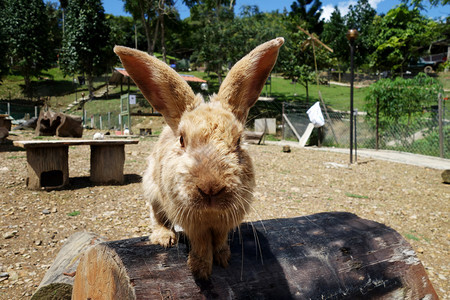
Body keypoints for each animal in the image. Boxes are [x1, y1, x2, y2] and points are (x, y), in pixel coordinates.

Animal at [115, 37, 284, 278]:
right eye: (182, 139)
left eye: (238, 140)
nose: (210, 188)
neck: (210, 213)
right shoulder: (191, 222)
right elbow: (201, 242)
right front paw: (200, 268)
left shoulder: (225, 223)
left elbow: (220, 239)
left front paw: (223, 258)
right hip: (151, 188)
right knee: (155, 215)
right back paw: (164, 238)